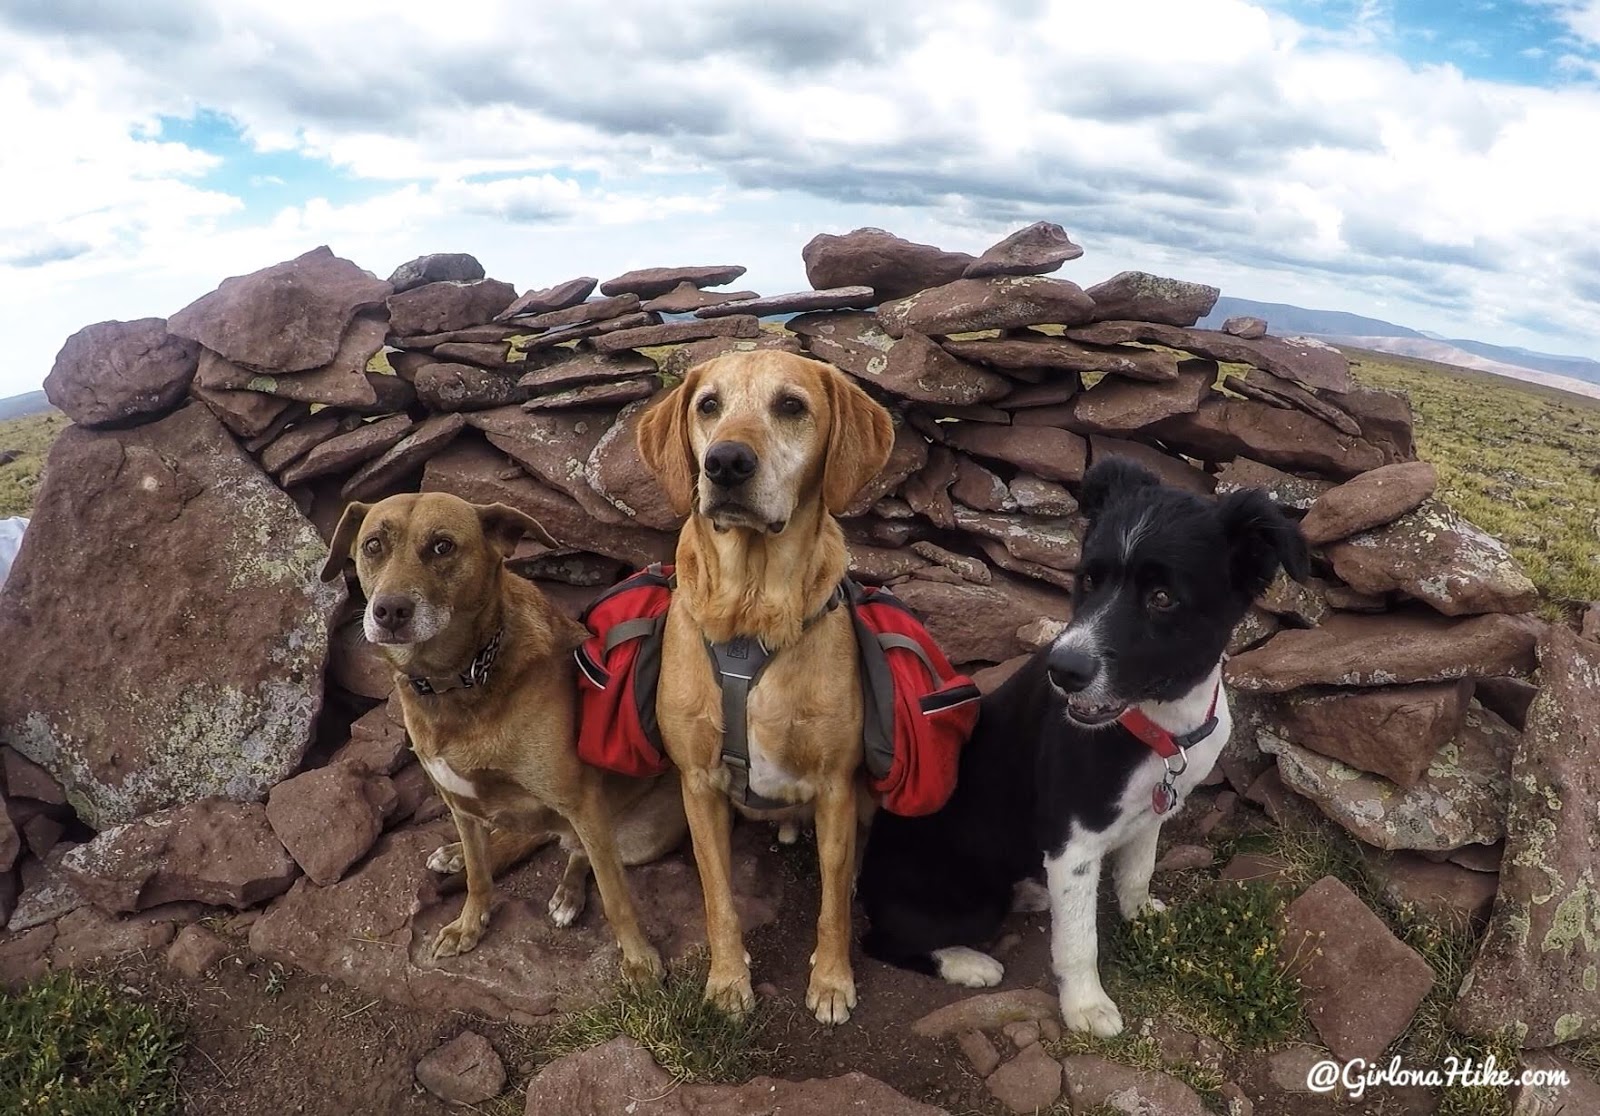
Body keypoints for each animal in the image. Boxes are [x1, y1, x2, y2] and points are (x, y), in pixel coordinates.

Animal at [316, 492, 681, 978]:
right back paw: (457, 853)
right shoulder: (458, 800)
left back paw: (568, 894)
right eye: (373, 545)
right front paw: (469, 925)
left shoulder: (581, 801)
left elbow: (616, 896)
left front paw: (639, 959)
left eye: (443, 546)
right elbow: (478, 875)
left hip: (642, 835)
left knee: (580, 853)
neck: (459, 679)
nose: (389, 611)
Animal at [857, 454, 1305, 1036]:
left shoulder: (1152, 812)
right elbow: (1079, 939)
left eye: (1163, 598)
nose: (1063, 671)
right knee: (881, 941)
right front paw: (1087, 1006)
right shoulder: (1074, 842)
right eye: (1088, 579)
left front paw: (1143, 919)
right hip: (963, 901)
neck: (1161, 726)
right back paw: (967, 962)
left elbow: (1137, 873)